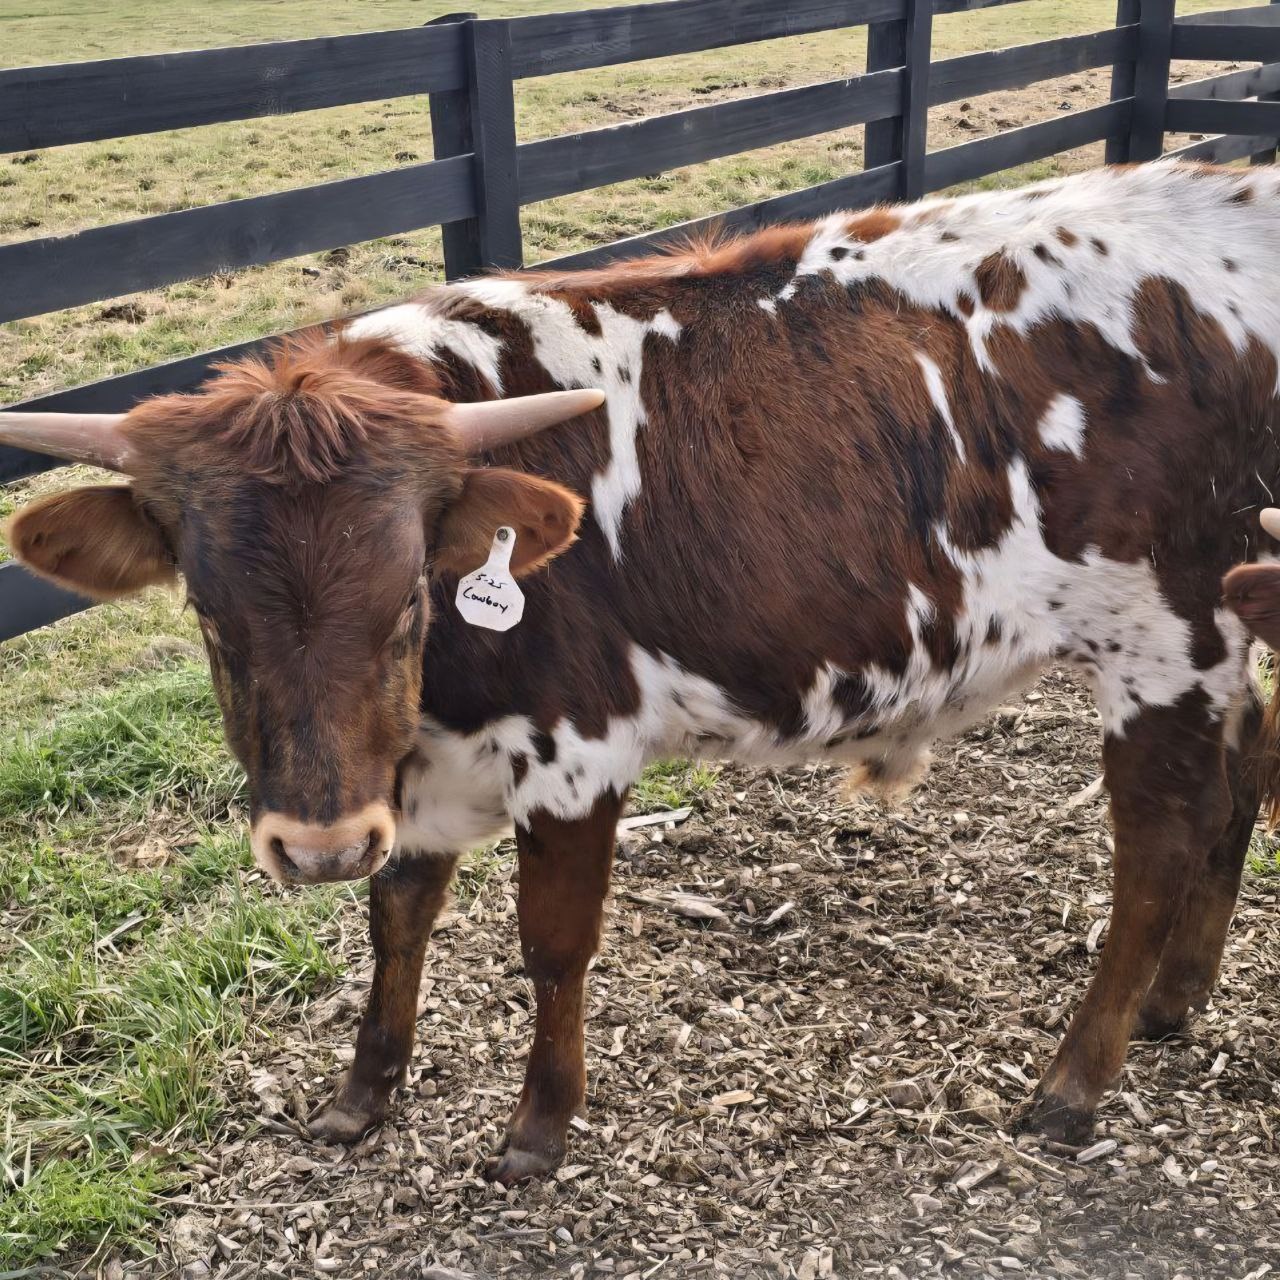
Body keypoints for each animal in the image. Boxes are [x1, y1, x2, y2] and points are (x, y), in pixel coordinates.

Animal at [4, 161, 1280, 1183]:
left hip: (1164, 629)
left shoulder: (575, 746)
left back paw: (1074, 1080)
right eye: (207, 611)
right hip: (1222, 618)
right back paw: (1175, 998)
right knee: (1245, 758)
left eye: (408, 592)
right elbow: (398, 912)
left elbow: (551, 941)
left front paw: (537, 1125)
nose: (312, 846)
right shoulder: (405, 769)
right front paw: (364, 1092)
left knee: (1159, 839)